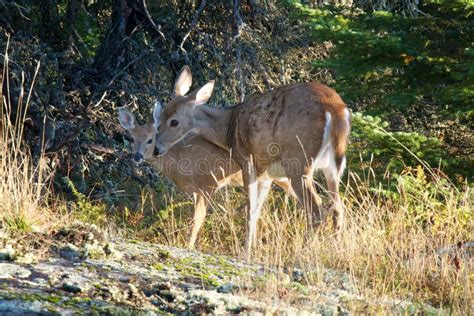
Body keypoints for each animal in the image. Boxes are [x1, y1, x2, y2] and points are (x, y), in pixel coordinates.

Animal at [118, 103, 292, 249]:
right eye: (131, 138)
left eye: (150, 140)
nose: (137, 156)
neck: (181, 158)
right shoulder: (196, 190)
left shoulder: (209, 183)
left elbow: (198, 219)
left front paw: (188, 246)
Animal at [156, 66, 352, 260]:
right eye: (160, 118)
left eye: (174, 121)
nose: (157, 149)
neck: (228, 128)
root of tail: (336, 110)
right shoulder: (266, 174)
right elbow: (257, 210)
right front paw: (254, 248)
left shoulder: (247, 160)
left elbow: (250, 210)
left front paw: (246, 252)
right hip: (333, 166)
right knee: (338, 208)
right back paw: (337, 250)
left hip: (298, 161)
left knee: (317, 209)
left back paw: (302, 253)